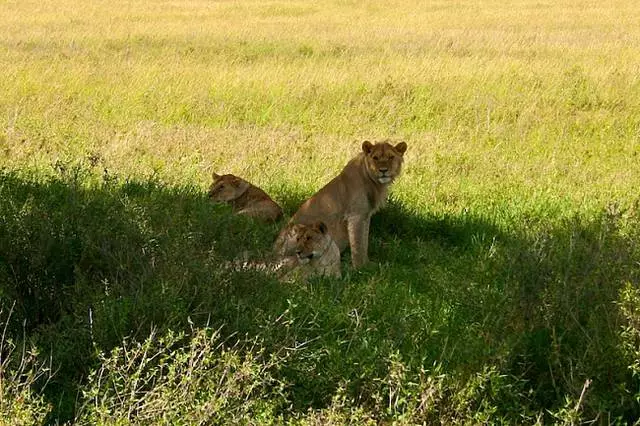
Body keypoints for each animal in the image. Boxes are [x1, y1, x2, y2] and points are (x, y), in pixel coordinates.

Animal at [272, 140, 408, 268]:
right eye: (375, 158)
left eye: (391, 157)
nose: (383, 170)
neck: (374, 182)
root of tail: (273, 251)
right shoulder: (356, 216)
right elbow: (358, 243)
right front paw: (360, 267)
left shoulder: (365, 216)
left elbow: (364, 240)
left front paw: (368, 263)